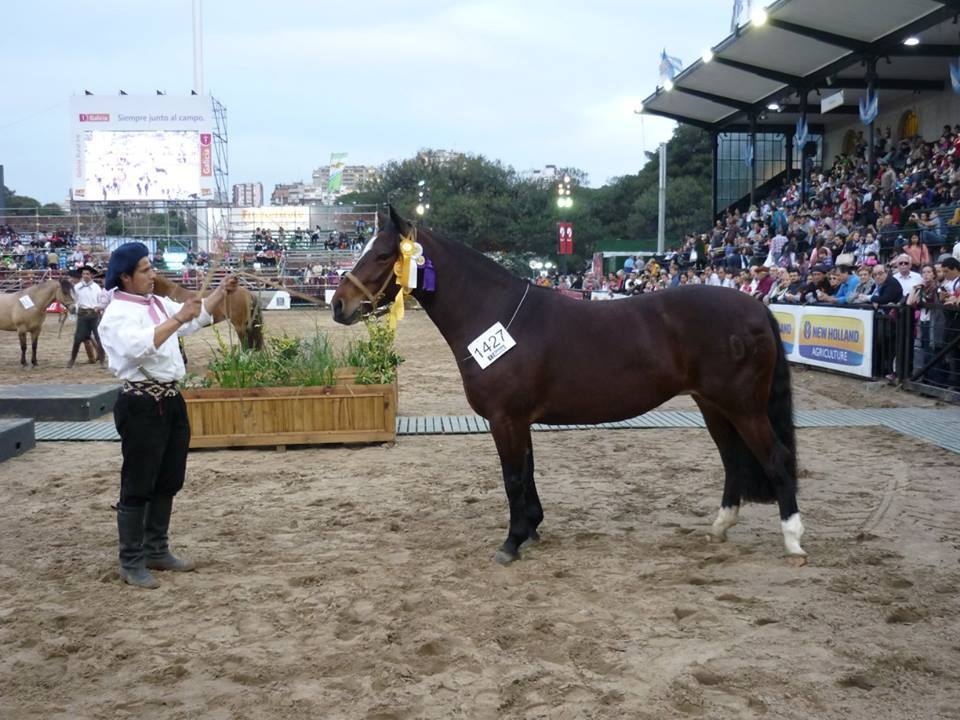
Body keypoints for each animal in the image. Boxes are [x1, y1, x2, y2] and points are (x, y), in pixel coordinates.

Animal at [334, 207, 808, 568]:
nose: (339, 304)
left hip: (744, 407)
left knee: (776, 458)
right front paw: (532, 529)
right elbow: (527, 473)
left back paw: (793, 539)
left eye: (382, 255)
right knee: (733, 462)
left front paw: (511, 542)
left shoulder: (505, 419)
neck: (497, 315)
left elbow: (512, 477)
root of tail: (756, 308)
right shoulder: (518, 421)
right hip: (714, 406)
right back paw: (721, 527)